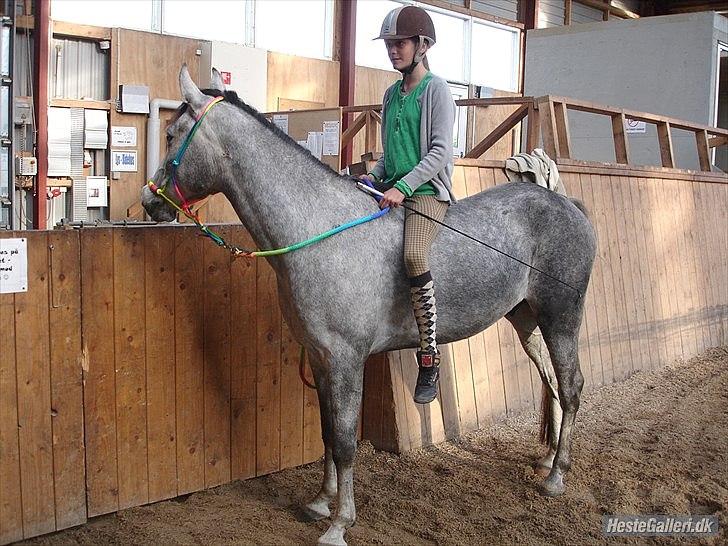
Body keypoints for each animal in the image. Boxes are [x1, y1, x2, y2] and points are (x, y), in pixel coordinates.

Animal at [142, 68, 596, 544]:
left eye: (172, 135)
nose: (149, 201)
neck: (319, 227)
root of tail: (568, 205)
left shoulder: (345, 358)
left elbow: (344, 440)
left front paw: (340, 522)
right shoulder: (321, 358)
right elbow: (327, 433)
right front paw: (320, 502)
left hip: (561, 317)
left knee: (571, 385)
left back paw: (556, 476)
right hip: (526, 319)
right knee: (551, 381)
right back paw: (547, 459)